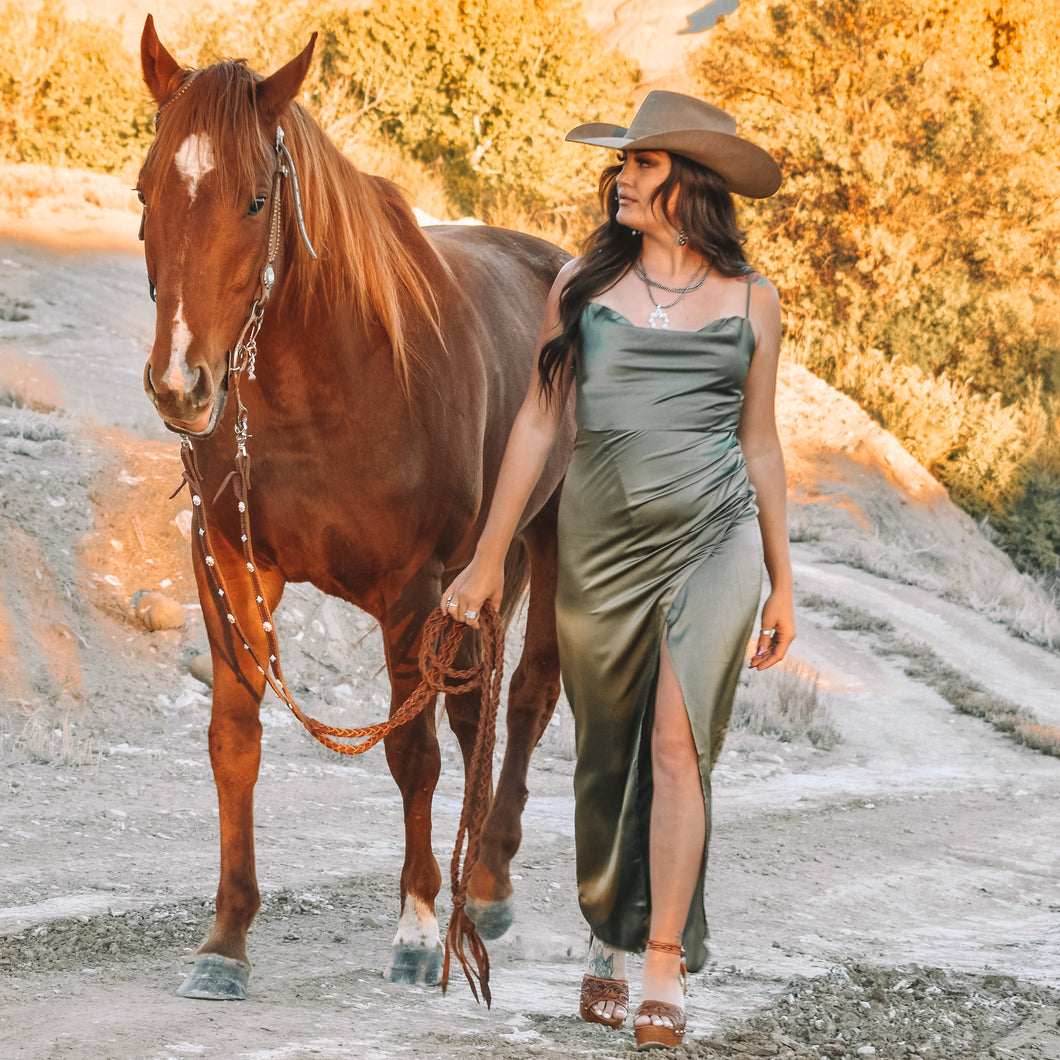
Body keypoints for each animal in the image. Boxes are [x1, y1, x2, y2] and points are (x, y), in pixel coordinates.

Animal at [140, 16, 576, 1000]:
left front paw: (415, 929)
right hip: (487, 572)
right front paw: (226, 940)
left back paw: (485, 885)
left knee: (525, 697)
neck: (329, 381)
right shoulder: (230, 565)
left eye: (257, 200)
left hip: (551, 540)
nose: (182, 385)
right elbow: (235, 741)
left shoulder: (411, 589)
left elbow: (411, 754)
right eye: (146, 189)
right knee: (477, 709)